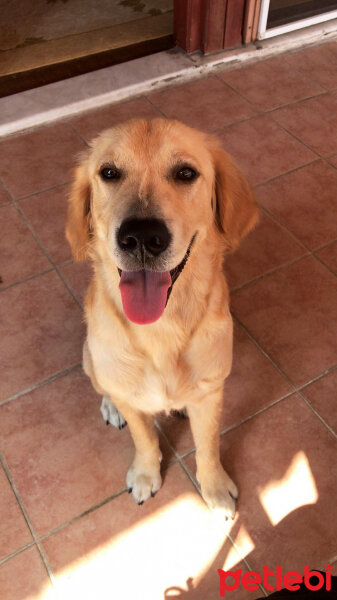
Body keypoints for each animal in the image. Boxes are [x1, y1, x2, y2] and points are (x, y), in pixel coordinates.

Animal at [67, 116, 258, 516]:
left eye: (185, 173)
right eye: (109, 172)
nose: (141, 238)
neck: (161, 329)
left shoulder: (211, 392)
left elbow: (208, 446)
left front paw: (215, 488)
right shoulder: (129, 395)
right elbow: (144, 439)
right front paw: (145, 475)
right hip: (91, 359)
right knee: (103, 386)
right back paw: (111, 406)